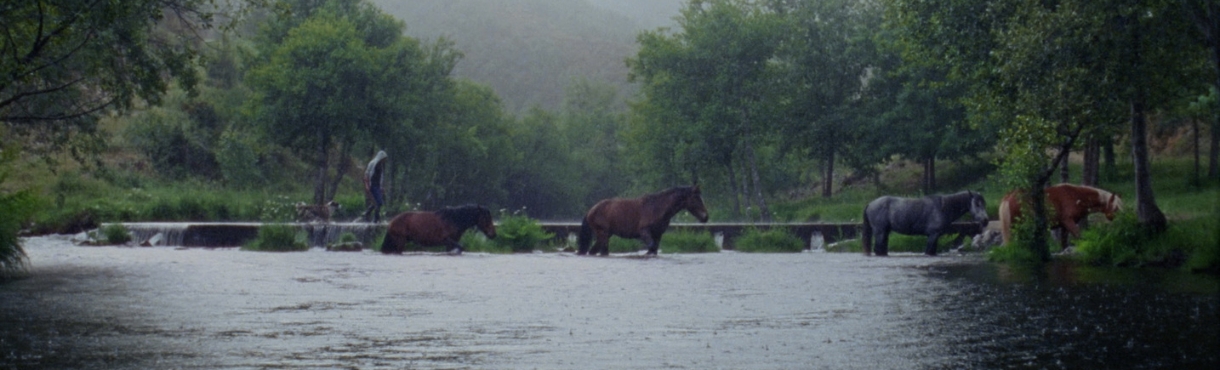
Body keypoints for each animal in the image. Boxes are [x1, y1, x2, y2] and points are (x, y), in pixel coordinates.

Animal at [575, 185, 712, 257]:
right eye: (696, 198)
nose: (706, 217)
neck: (657, 207)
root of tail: (591, 210)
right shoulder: (644, 232)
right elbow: (651, 247)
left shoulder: (658, 235)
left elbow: (654, 249)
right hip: (602, 234)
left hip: (606, 235)